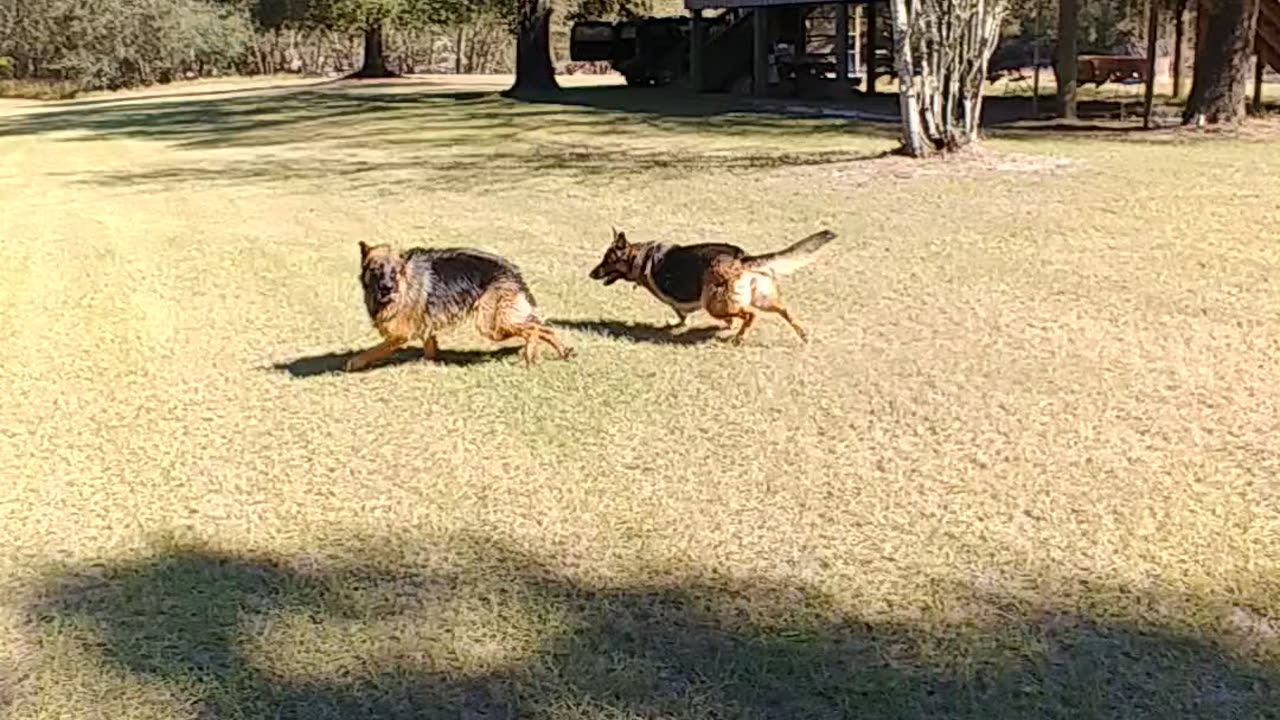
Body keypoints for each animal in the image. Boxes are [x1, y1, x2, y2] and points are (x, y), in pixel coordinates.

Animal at [348, 243, 573, 371]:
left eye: (394, 271)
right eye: (375, 270)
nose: (386, 288)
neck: (406, 281)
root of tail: (512, 271)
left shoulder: (400, 334)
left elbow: (374, 350)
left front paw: (356, 362)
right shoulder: (425, 324)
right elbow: (429, 347)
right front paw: (429, 364)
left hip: (491, 325)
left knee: (533, 328)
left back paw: (529, 356)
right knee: (543, 327)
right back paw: (561, 352)